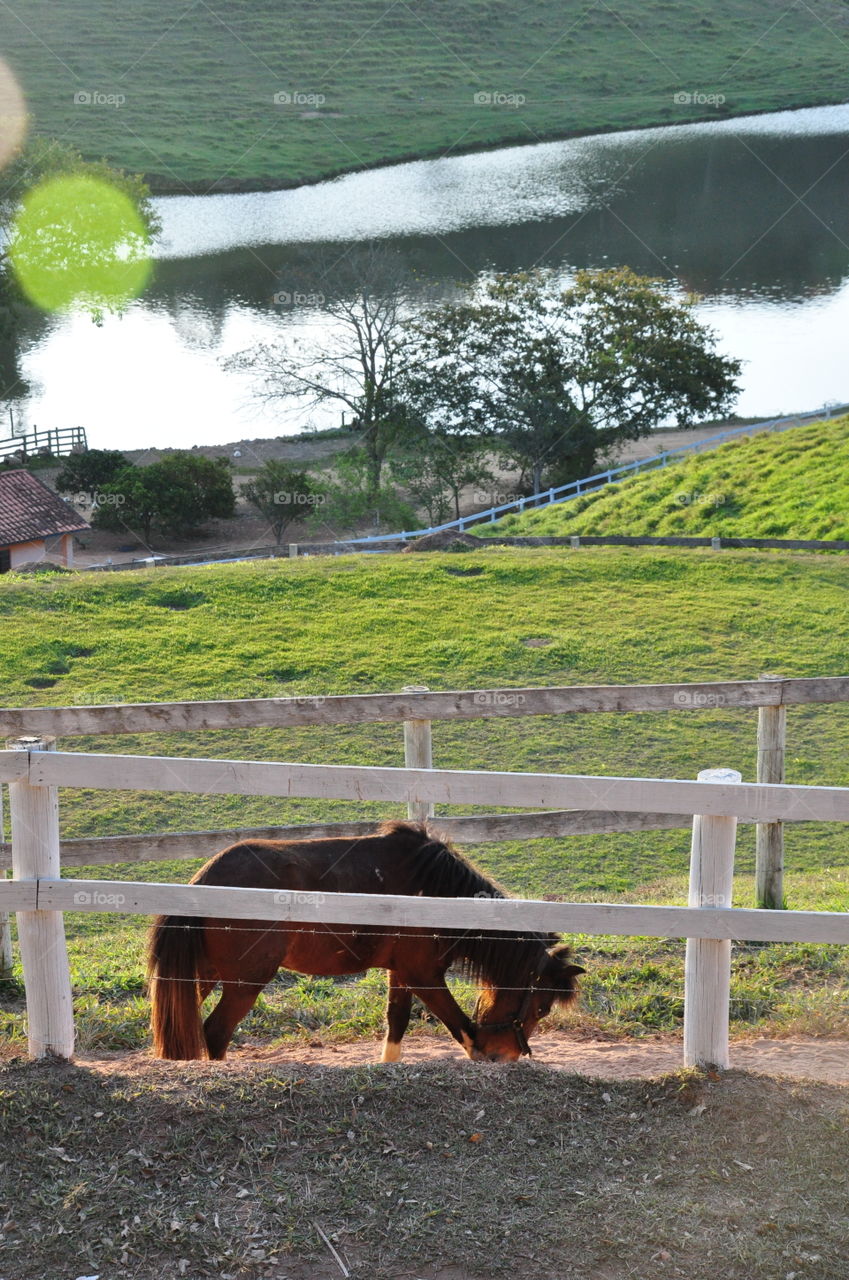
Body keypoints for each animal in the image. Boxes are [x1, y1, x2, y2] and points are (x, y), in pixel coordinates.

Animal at [145, 819, 583, 1059]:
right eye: (542, 1006)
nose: (506, 1056)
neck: (435, 892)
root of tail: (203, 880)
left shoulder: (402, 972)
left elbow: (397, 1021)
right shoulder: (424, 974)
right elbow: (458, 1024)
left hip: (201, 975)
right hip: (244, 982)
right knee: (215, 1033)